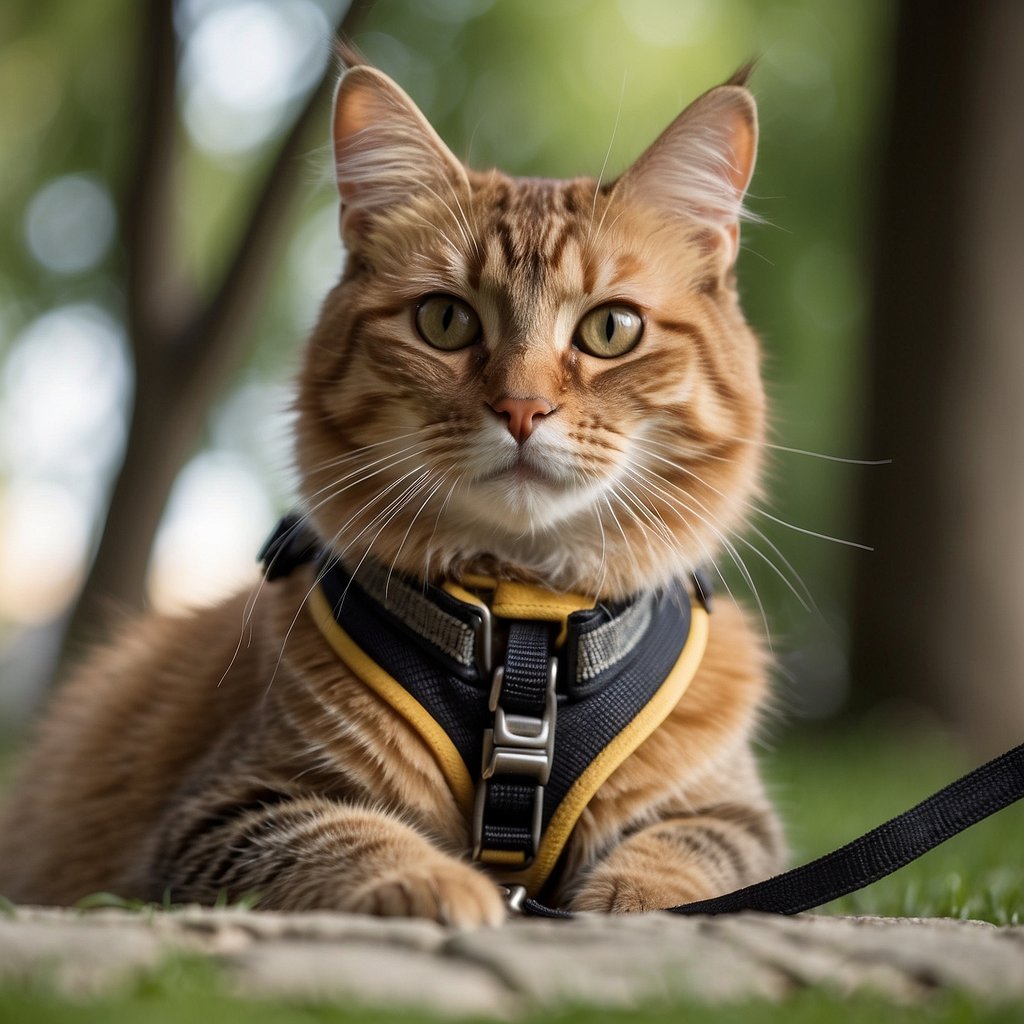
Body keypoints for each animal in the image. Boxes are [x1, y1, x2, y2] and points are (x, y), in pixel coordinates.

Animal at [0, 61, 782, 929]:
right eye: (445, 320)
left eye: (611, 330)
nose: (521, 409)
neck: (524, 623)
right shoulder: (226, 808)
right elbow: (350, 833)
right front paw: (443, 886)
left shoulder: (731, 814)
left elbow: (685, 851)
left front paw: (635, 902)